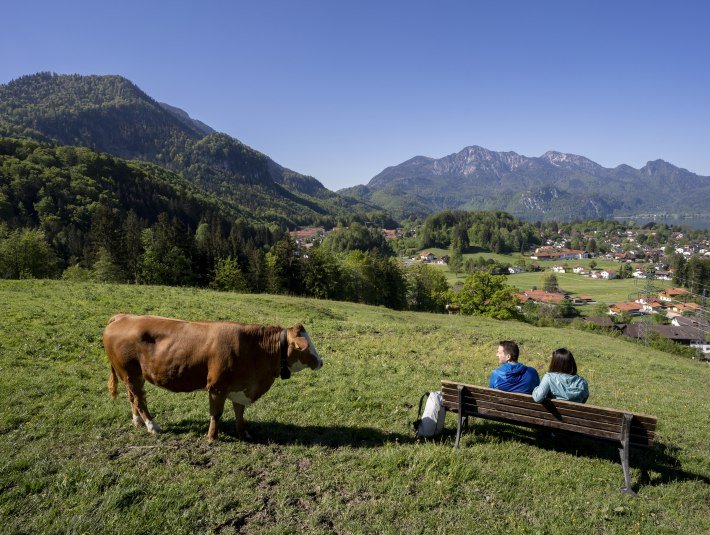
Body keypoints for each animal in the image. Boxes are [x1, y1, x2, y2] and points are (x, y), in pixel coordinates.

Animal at [102, 314, 322, 440]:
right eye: (306, 346)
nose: (321, 362)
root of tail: (123, 317)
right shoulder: (217, 387)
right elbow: (216, 413)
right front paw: (212, 436)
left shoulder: (239, 387)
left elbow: (239, 412)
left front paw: (243, 432)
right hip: (130, 373)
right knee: (139, 399)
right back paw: (151, 425)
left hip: (133, 376)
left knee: (133, 397)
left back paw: (137, 421)